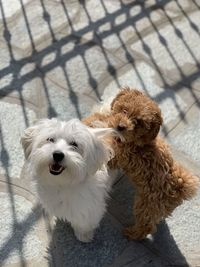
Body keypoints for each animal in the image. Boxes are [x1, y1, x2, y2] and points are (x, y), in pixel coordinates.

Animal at [82, 87, 198, 241]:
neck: (136, 142)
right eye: (124, 110)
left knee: (146, 226)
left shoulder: (119, 155)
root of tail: (179, 187)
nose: (120, 126)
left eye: (138, 122)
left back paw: (132, 233)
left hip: (146, 205)